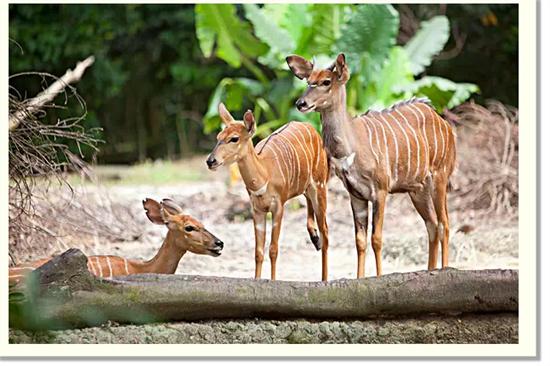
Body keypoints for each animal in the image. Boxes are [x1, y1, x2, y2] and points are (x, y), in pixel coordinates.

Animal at [206, 103, 328, 280]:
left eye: (234, 138)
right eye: (218, 137)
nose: (210, 161)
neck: (265, 173)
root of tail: (311, 128)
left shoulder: (278, 208)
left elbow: (273, 249)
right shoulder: (257, 210)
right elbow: (258, 252)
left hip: (320, 185)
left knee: (326, 232)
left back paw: (324, 276)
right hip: (307, 186)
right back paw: (315, 238)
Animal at [286, 53, 460, 278]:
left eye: (326, 81)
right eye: (308, 81)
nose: (301, 103)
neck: (350, 147)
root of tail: (444, 123)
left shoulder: (381, 190)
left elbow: (376, 238)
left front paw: (378, 277)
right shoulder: (356, 195)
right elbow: (360, 241)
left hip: (440, 177)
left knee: (444, 224)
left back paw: (444, 269)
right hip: (417, 189)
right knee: (432, 225)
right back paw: (429, 271)